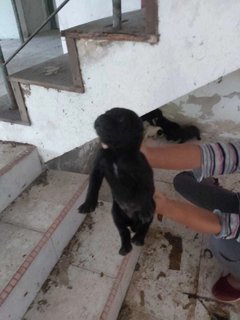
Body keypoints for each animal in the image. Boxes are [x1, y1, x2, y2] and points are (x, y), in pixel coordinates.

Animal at [78, 107, 155, 255]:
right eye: (105, 112)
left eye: (121, 119)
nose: (99, 119)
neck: (116, 153)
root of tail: (132, 223)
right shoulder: (97, 169)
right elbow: (92, 187)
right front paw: (88, 204)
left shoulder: (144, 174)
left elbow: (144, 191)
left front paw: (144, 211)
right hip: (116, 214)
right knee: (123, 231)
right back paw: (125, 247)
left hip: (153, 208)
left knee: (145, 226)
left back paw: (138, 238)